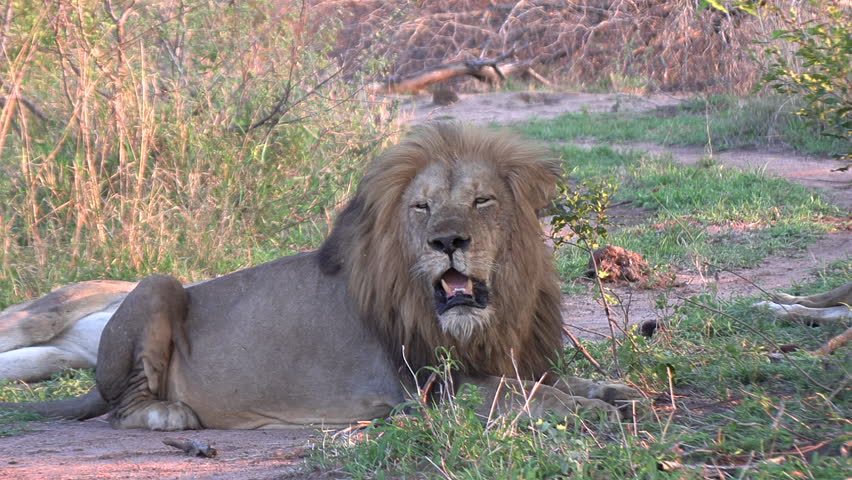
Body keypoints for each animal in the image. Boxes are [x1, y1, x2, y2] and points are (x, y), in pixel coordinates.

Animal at [0, 124, 644, 432]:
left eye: (482, 201)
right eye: (422, 208)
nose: (448, 242)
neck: (489, 313)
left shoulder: (509, 357)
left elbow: (561, 381)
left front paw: (619, 393)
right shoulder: (432, 388)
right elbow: (527, 394)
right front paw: (590, 412)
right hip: (158, 282)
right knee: (122, 407)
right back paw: (171, 414)